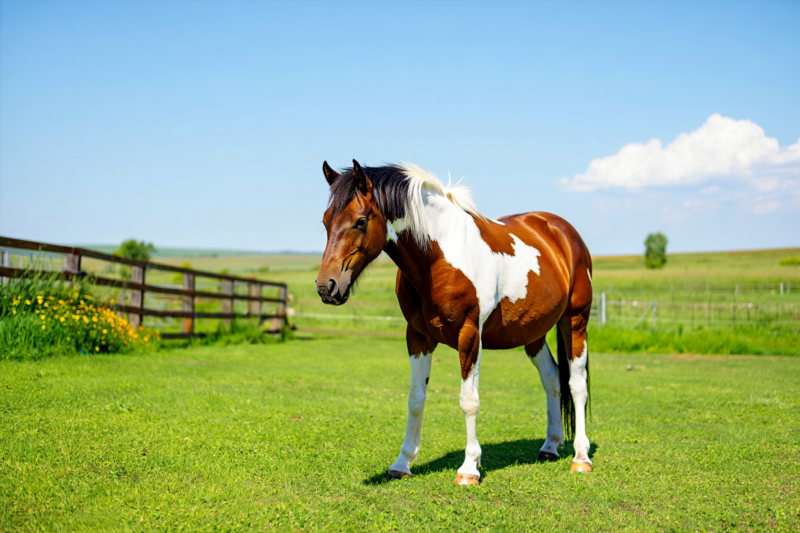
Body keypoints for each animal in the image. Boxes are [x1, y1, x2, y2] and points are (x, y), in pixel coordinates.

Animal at [316, 160, 593, 485]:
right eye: (325, 221)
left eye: (360, 221)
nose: (326, 287)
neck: (439, 256)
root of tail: (562, 231)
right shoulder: (418, 338)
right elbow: (415, 399)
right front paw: (402, 463)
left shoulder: (469, 335)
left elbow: (469, 401)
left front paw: (469, 468)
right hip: (533, 333)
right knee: (552, 378)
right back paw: (550, 446)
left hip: (575, 321)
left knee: (576, 384)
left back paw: (581, 457)